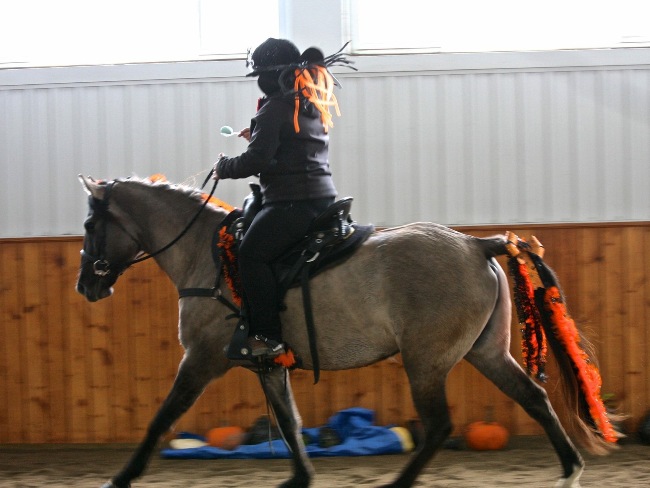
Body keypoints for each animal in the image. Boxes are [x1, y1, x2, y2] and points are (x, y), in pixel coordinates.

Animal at [74, 175, 608, 488]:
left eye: (90, 225)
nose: (87, 285)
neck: (207, 257)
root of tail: (478, 245)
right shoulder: (268, 363)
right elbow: (289, 422)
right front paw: (299, 479)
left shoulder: (202, 359)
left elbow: (162, 418)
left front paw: (122, 478)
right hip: (485, 352)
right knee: (533, 399)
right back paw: (569, 471)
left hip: (427, 362)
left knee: (439, 426)